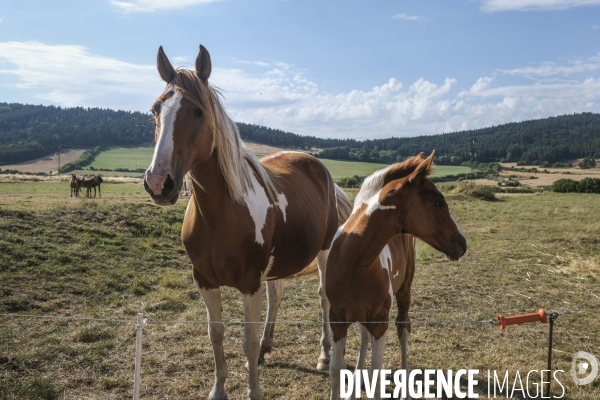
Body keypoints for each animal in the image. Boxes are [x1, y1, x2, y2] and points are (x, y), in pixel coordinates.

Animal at [144, 44, 352, 400]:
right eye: (156, 109)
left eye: (198, 112)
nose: (159, 183)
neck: (221, 215)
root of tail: (318, 166)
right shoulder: (204, 279)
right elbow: (216, 334)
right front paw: (218, 390)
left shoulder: (249, 281)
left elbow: (248, 341)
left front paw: (253, 389)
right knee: (277, 293)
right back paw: (270, 347)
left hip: (324, 251)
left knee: (324, 298)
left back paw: (324, 356)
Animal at [326, 152, 466, 400]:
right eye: (440, 203)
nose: (463, 243)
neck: (353, 264)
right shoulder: (337, 319)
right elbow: (336, 368)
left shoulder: (381, 321)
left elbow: (377, 373)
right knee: (364, 336)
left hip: (404, 291)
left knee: (403, 328)